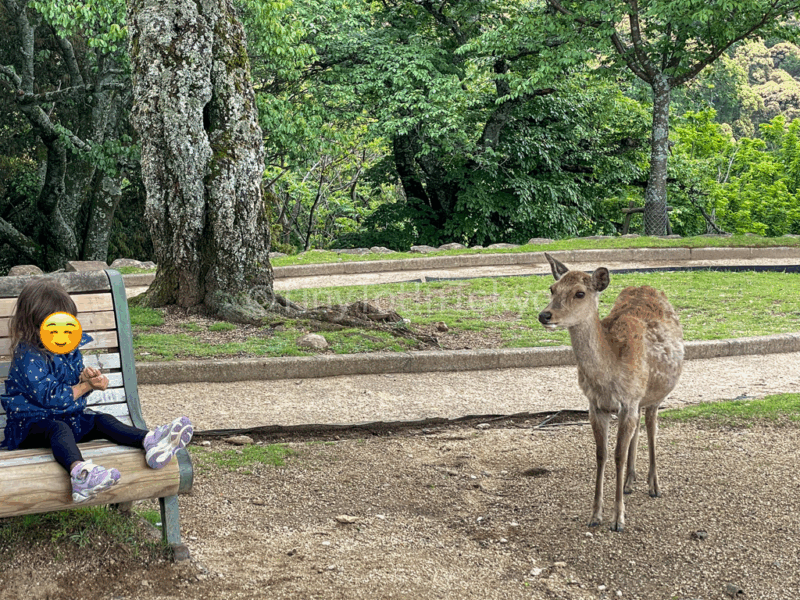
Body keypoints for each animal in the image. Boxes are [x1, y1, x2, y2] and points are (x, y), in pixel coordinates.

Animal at [538, 253, 684, 532]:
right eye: (552, 288)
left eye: (580, 293)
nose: (545, 315)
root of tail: (647, 287)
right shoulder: (595, 406)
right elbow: (601, 454)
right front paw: (595, 515)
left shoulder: (628, 402)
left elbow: (617, 455)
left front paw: (618, 520)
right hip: (639, 400)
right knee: (638, 431)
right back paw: (629, 482)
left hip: (656, 394)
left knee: (651, 428)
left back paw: (654, 485)